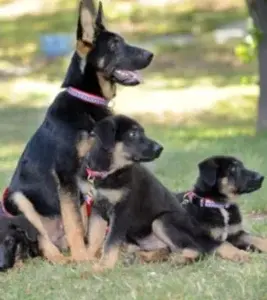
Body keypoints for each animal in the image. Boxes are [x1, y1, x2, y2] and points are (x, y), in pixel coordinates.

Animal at [2, 0, 154, 262]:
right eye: (114, 45)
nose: (150, 55)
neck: (87, 101)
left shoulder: (88, 178)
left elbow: (84, 220)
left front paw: (91, 252)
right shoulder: (67, 175)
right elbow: (74, 221)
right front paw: (82, 258)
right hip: (16, 197)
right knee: (42, 238)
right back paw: (61, 258)